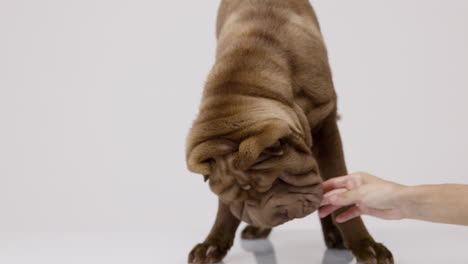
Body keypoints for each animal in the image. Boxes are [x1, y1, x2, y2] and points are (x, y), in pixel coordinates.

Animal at [185, 0, 394, 264]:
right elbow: (224, 209)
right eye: (239, 200)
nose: (268, 216)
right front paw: (213, 243)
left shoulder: (326, 124)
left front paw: (364, 245)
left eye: (274, 180)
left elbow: (339, 189)